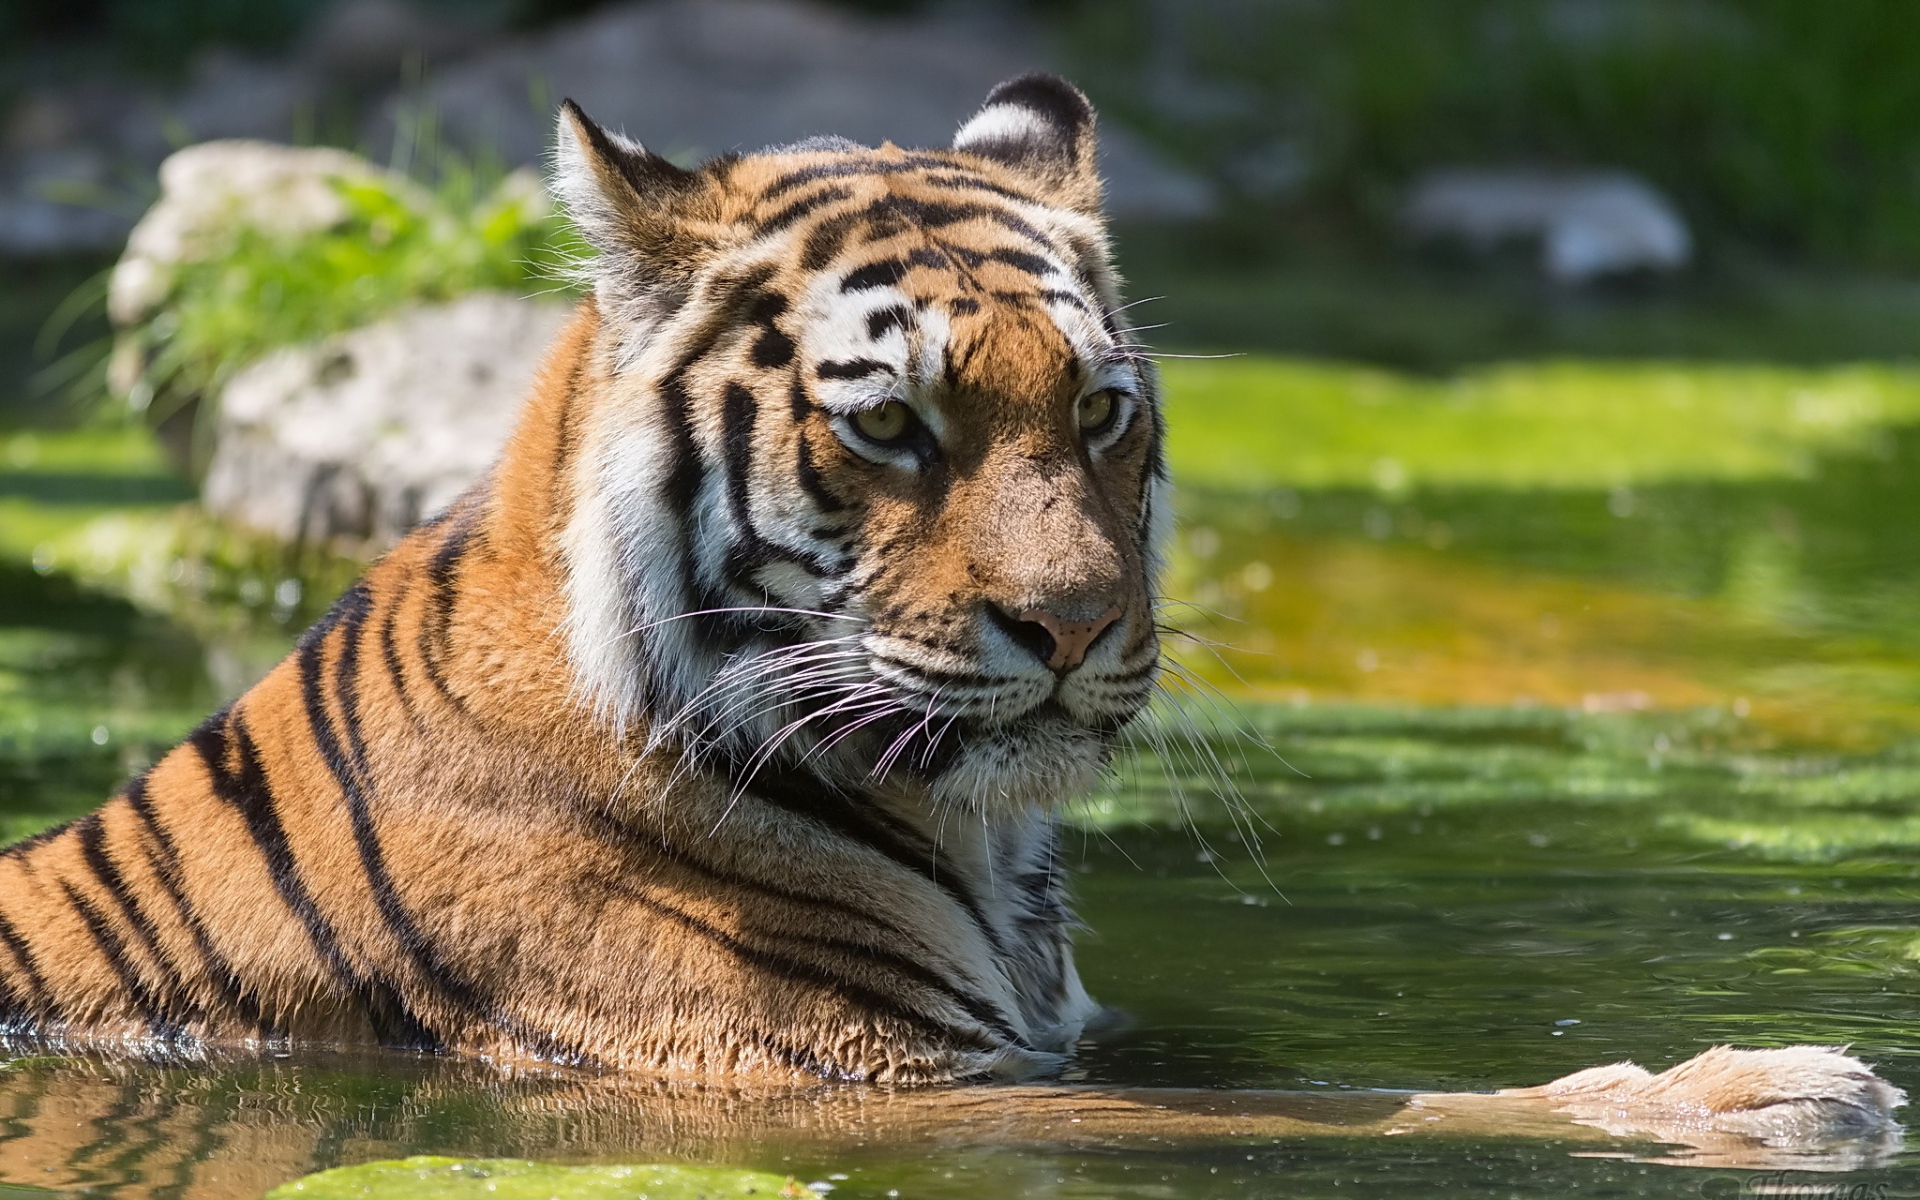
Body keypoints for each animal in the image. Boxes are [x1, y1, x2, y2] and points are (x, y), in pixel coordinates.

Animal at [0, 74, 1899, 1153]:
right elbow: (1378, 1103)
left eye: (1103, 412)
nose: (1072, 628)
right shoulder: (861, 1077)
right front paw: (1775, 1093)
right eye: (892, 426)